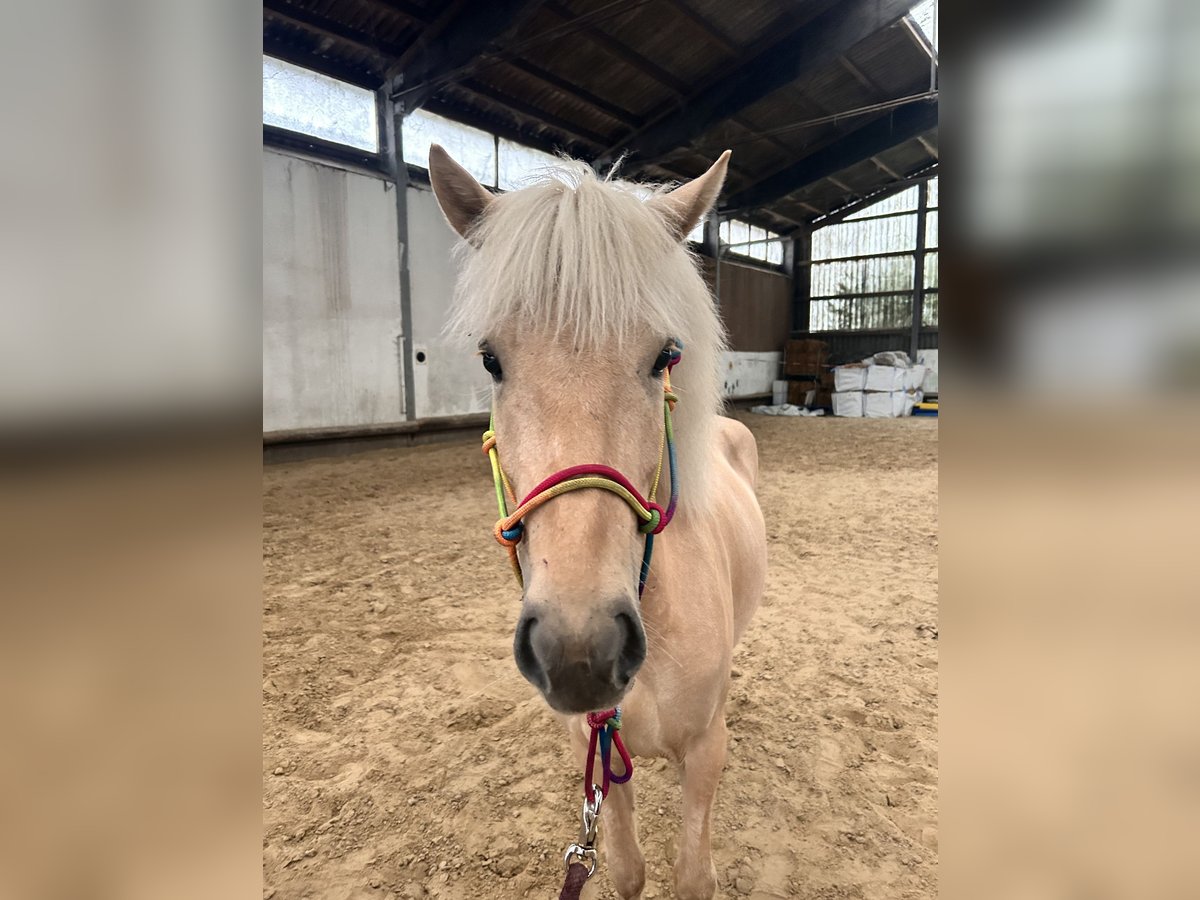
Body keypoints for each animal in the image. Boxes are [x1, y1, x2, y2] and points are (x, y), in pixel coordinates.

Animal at [427, 144, 767, 900]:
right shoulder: (596, 756)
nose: (579, 650)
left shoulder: (706, 752)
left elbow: (692, 876)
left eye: (663, 356)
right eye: (491, 359)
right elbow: (626, 869)